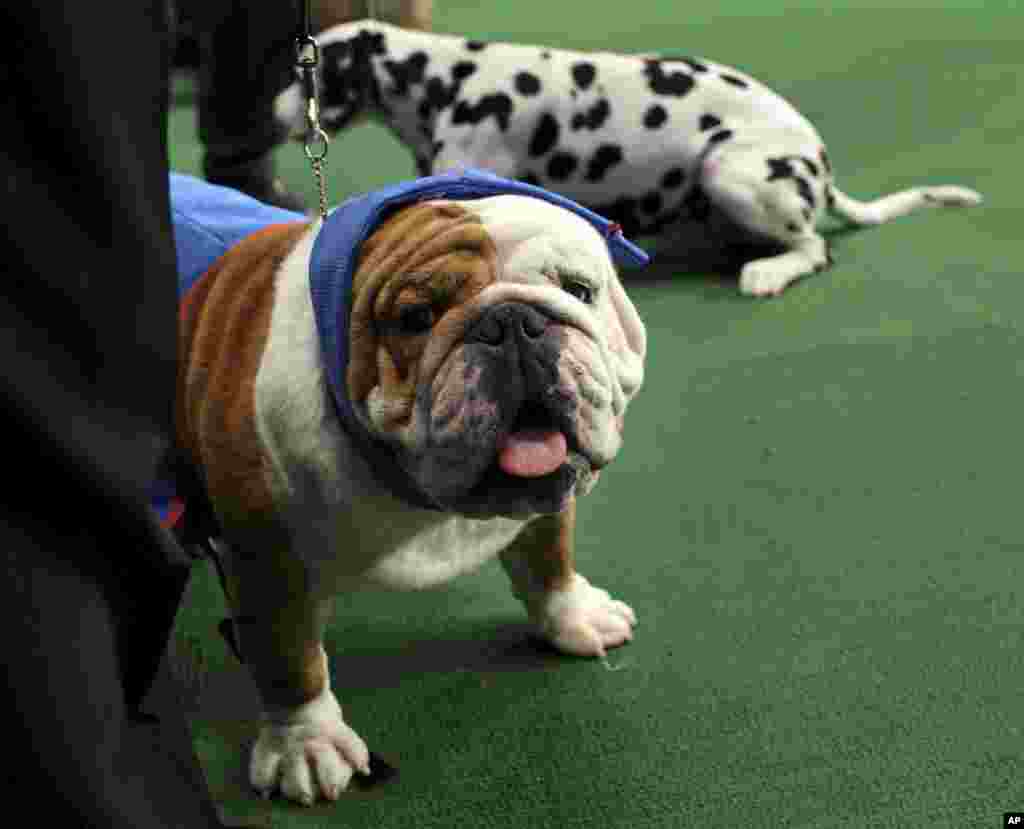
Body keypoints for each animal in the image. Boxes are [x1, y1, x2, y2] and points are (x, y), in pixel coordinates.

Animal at [276, 20, 978, 294]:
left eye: (311, 72)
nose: (276, 115)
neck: (448, 81)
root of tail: (818, 162)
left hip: (732, 172)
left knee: (813, 248)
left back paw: (769, 271)